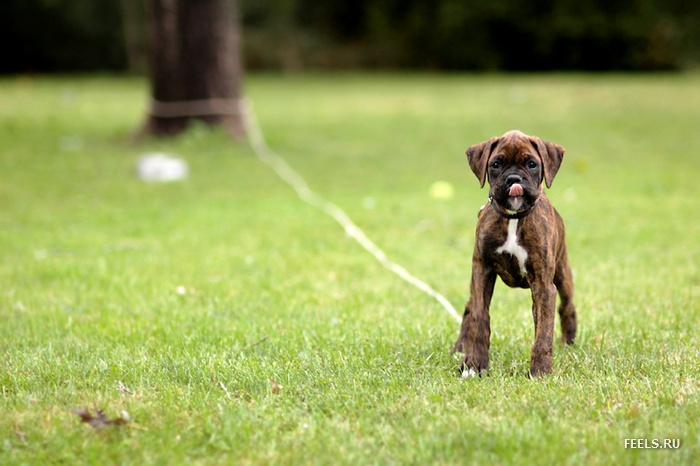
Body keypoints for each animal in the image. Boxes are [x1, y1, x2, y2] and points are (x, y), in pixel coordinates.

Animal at [456, 129, 576, 376]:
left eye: (531, 164)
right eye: (496, 164)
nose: (514, 179)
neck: (513, 217)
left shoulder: (543, 285)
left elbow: (543, 332)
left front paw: (540, 371)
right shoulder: (482, 271)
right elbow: (479, 317)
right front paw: (473, 364)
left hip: (562, 274)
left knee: (566, 306)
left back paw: (568, 343)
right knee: (469, 309)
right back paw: (460, 347)